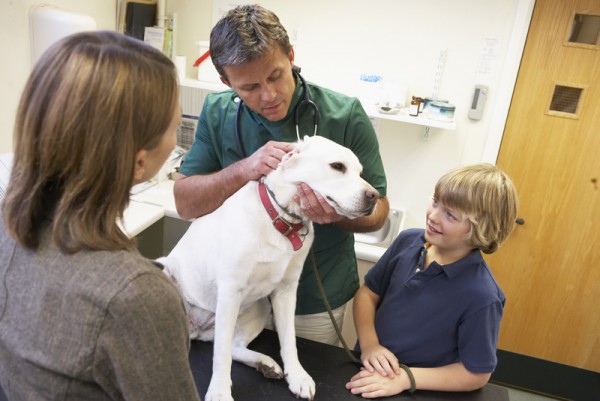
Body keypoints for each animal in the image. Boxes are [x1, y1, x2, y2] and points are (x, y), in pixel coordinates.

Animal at [157, 135, 378, 400]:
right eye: (337, 166)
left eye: (360, 172)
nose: (374, 196)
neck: (282, 220)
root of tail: (197, 331)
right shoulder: (230, 292)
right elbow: (220, 355)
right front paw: (219, 390)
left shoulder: (286, 291)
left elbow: (289, 340)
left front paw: (297, 376)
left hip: (261, 306)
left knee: (234, 347)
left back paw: (266, 364)